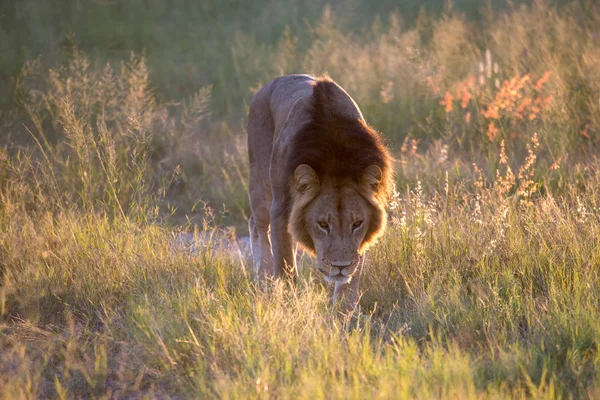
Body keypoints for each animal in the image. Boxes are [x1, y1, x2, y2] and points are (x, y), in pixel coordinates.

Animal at [246, 74, 392, 310]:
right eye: (322, 224)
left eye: (357, 224)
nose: (340, 266)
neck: (336, 158)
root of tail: (266, 86)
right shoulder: (281, 209)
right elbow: (285, 263)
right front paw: (288, 303)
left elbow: (353, 274)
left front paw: (344, 309)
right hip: (261, 188)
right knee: (257, 225)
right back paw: (264, 278)